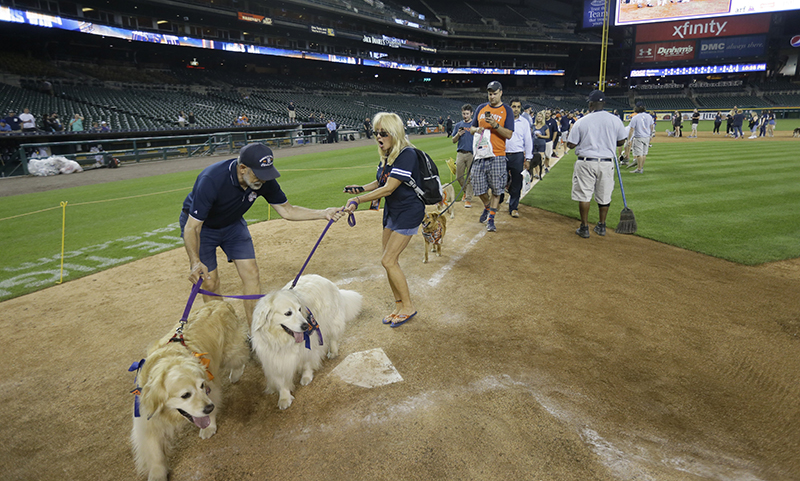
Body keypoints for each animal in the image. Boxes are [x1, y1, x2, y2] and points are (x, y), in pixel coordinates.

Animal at [130, 300, 248, 480]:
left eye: (202, 386)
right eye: (185, 395)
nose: (209, 407)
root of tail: (220, 302)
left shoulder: (211, 386)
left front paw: (208, 427)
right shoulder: (147, 418)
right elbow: (154, 451)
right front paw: (157, 474)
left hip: (231, 352)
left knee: (242, 356)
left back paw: (235, 374)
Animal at [252, 274, 360, 408]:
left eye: (299, 309)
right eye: (288, 313)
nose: (306, 326)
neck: (282, 340)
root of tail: (324, 279)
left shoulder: (308, 347)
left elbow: (307, 363)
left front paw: (306, 377)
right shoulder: (274, 361)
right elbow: (281, 382)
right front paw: (284, 398)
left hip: (332, 320)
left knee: (333, 337)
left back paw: (333, 352)